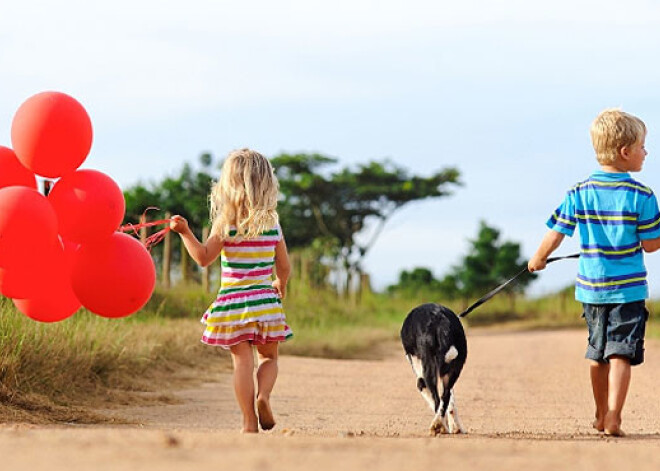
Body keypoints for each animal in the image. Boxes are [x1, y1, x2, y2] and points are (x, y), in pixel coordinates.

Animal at [400, 304, 466, 436]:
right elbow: (451, 403)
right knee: (445, 396)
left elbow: (429, 395)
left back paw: (438, 426)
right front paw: (455, 427)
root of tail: (442, 319)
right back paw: (442, 425)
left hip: (429, 370)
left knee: (437, 399)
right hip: (454, 370)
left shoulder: (420, 377)